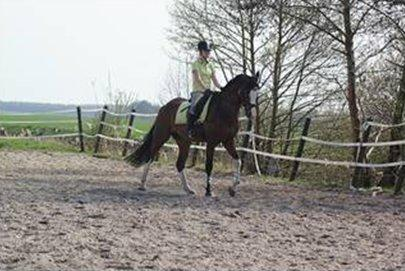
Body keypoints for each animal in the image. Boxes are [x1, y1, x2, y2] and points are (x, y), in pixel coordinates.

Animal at [124, 73, 260, 198]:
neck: (224, 110)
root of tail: (165, 106)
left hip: (184, 142)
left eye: (257, 92)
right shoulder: (211, 143)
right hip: (161, 136)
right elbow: (209, 166)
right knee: (150, 158)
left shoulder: (228, 141)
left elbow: (239, 161)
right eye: (246, 91)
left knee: (179, 164)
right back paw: (142, 185)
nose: (252, 114)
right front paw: (209, 191)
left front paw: (233, 188)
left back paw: (188, 189)